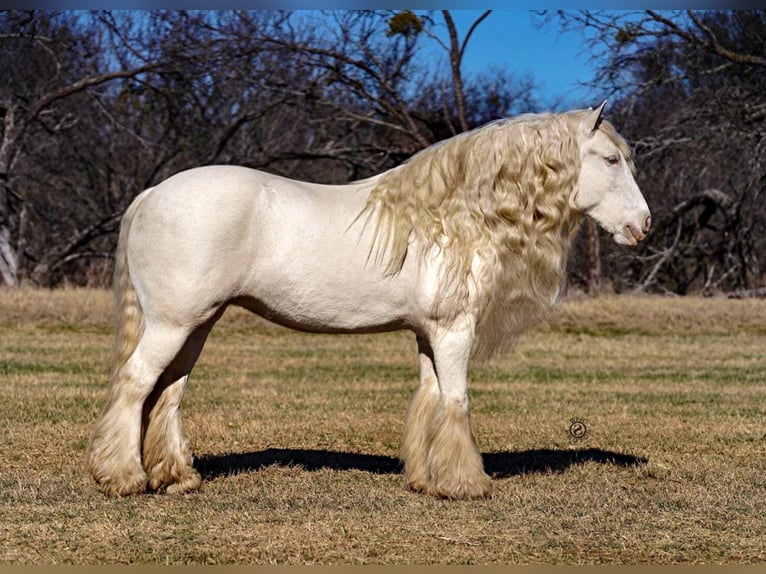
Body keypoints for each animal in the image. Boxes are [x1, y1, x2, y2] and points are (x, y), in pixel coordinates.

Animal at [90, 102, 656, 500]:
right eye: (611, 159)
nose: (644, 225)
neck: (453, 215)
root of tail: (152, 194)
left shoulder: (429, 333)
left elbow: (429, 398)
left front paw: (426, 480)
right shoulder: (455, 330)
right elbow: (456, 401)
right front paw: (466, 484)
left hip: (196, 325)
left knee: (167, 392)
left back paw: (176, 477)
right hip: (172, 323)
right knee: (136, 384)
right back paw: (122, 478)